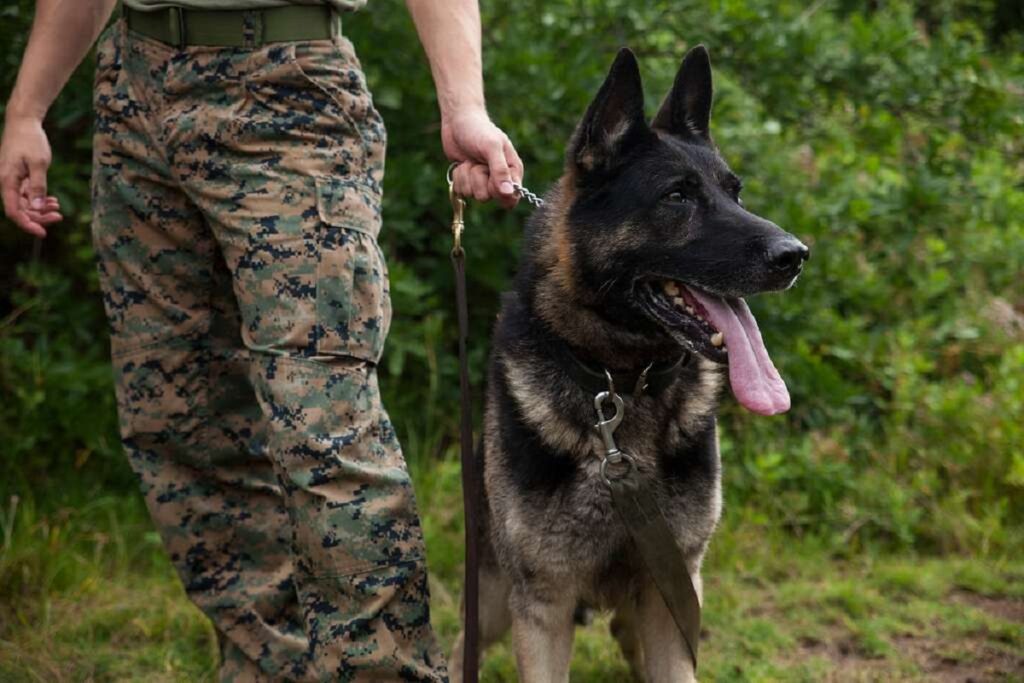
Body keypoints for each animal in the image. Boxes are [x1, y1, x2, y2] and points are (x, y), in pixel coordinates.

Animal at [454, 45, 806, 679]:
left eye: (735, 193)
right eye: (677, 196)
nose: (795, 255)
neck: (621, 382)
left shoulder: (674, 595)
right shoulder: (541, 607)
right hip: (492, 600)